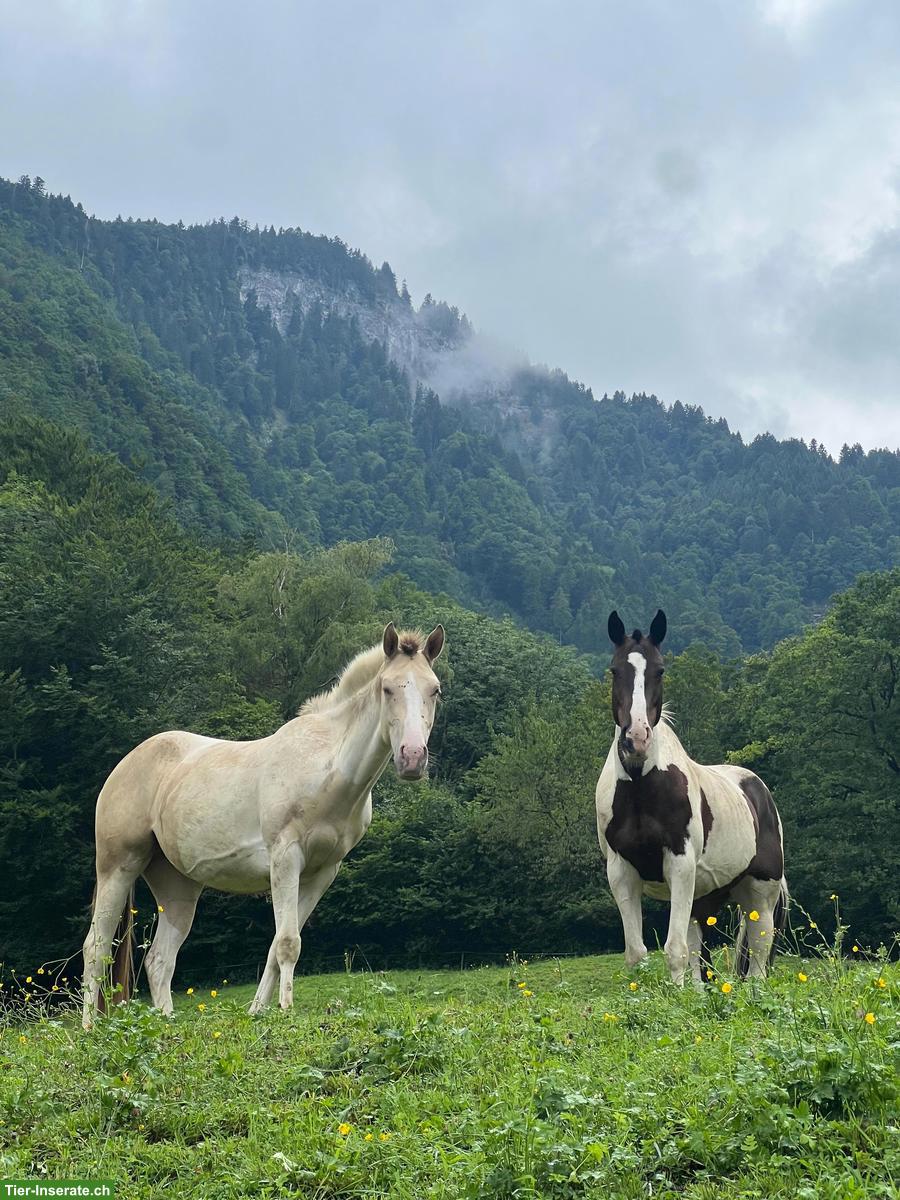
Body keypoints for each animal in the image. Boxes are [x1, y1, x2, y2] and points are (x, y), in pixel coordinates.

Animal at [81, 622, 444, 1028]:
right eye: (387, 688)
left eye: (435, 689)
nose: (412, 758)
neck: (324, 767)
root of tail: (125, 764)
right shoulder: (285, 859)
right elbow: (287, 942)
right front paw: (285, 1009)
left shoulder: (322, 872)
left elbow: (278, 943)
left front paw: (259, 1011)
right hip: (118, 865)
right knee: (95, 948)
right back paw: (88, 1030)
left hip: (178, 886)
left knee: (159, 960)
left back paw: (167, 1024)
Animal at [595, 610, 787, 986]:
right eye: (614, 670)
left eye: (659, 670)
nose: (636, 739)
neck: (641, 788)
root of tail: (759, 792)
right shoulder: (621, 872)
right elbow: (637, 954)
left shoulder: (679, 865)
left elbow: (674, 950)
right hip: (705, 898)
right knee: (701, 958)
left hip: (760, 894)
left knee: (757, 959)